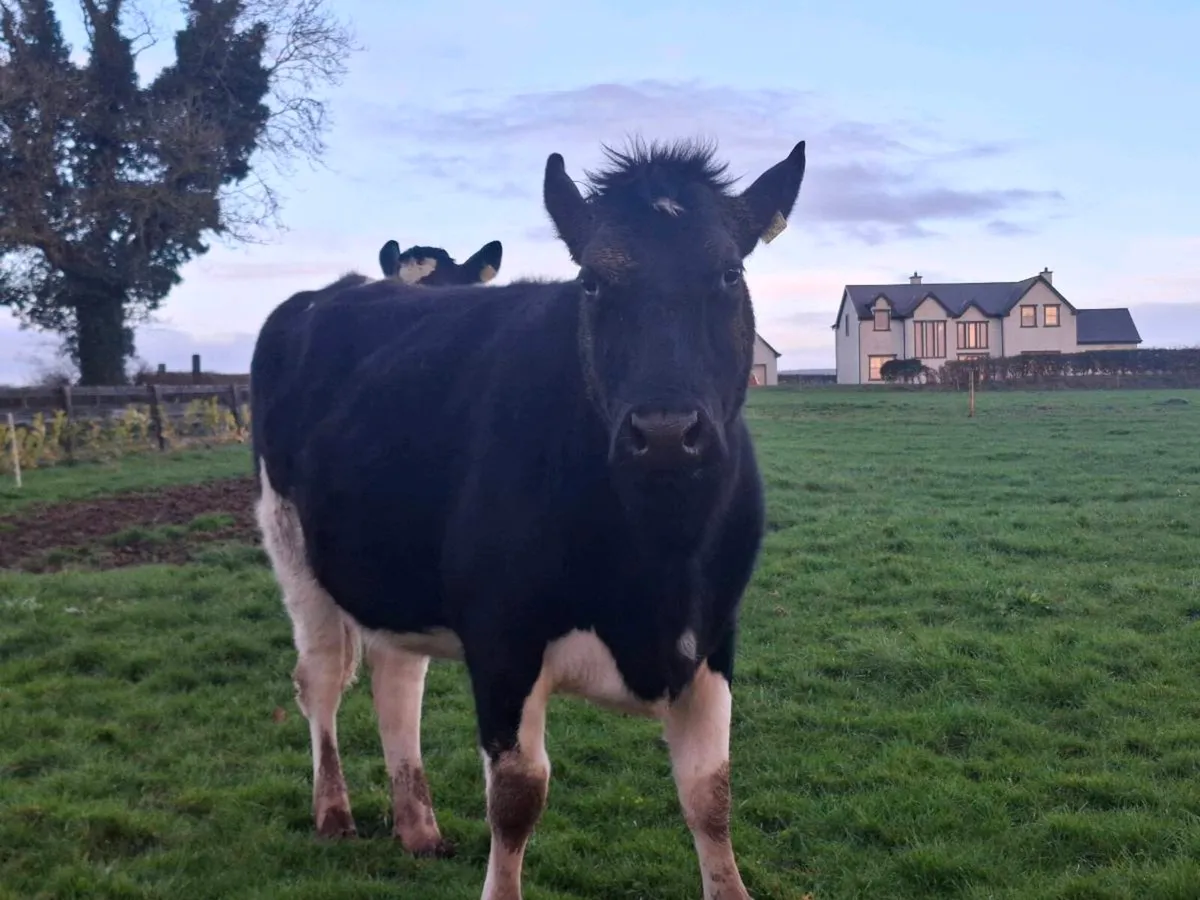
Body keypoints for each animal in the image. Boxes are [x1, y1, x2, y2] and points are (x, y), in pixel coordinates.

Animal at [251, 136, 807, 900]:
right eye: (592, 283)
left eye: (729, 272)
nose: (666, 432)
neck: (660, 555)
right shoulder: (503, 640)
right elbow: (517, 799)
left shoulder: (714, 637)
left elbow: (711, 794)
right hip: (293, 545)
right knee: (321, 680)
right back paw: (333, 811)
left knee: (397, 682)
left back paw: (417, 828)